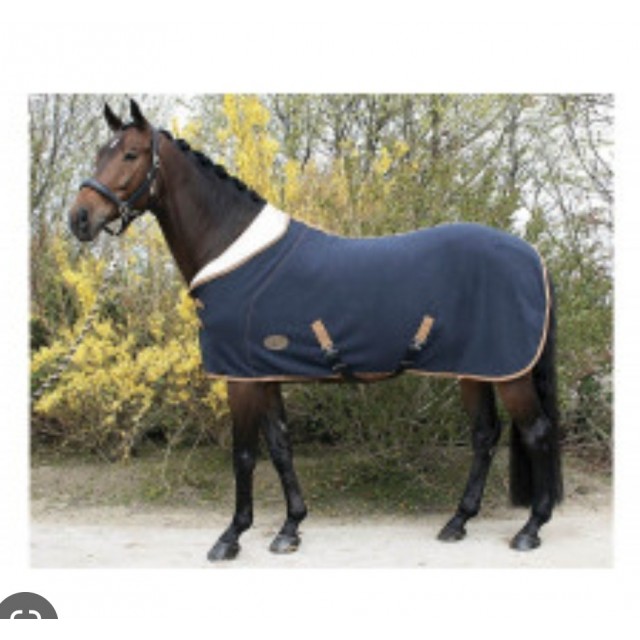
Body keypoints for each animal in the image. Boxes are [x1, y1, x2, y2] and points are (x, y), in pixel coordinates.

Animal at [68, 100, 563, 561]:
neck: (232, 250)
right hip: (476, 369)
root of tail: (533, 256)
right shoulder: (262, 374)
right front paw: (290, 528)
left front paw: (231, 537)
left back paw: (531, 529)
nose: (79, 219)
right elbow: (280, 446)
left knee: (538, 432)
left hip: (510, 374)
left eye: (130, 154)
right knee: (485, 435)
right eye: (98, 153)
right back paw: (458, 521)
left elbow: (244, 455)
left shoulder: (239, 380)